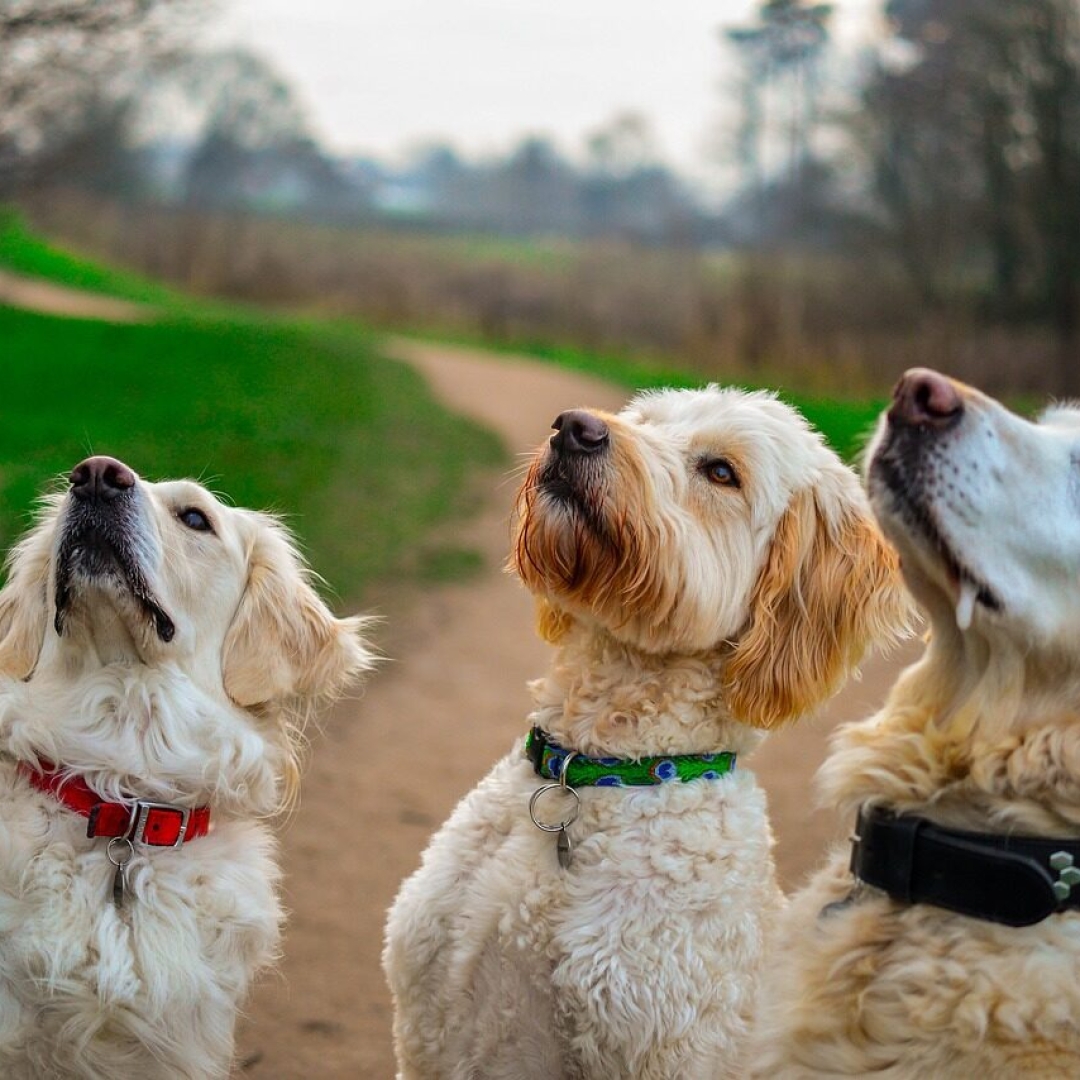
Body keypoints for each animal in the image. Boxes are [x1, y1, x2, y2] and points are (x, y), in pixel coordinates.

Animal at [384, 388, 907, 1080]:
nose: (574, 429)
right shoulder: (426, 1021)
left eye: (721, 472)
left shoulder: (661, 1045)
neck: (593, 772)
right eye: (644, 421)